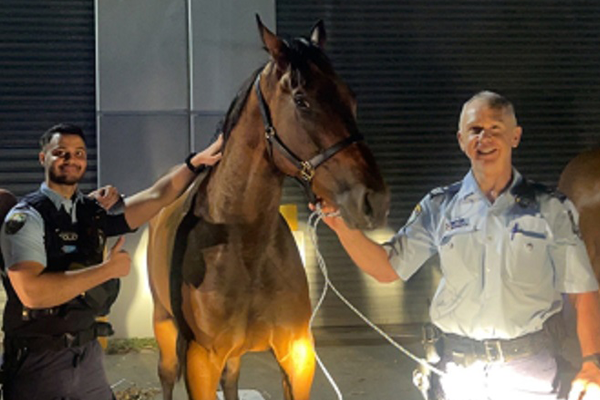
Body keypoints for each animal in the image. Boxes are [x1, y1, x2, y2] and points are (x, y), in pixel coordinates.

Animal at [146, 17, 390, 400]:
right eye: (302, 101)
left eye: (350, 97)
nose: (373, 201)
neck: (245, 246)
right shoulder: (201, 362)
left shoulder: (298, 354)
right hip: (164, 327)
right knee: (166, 375)